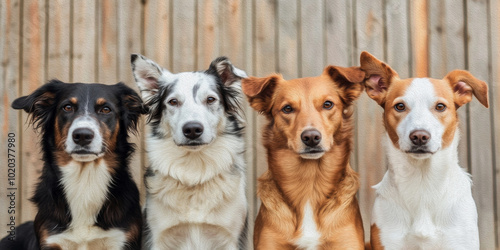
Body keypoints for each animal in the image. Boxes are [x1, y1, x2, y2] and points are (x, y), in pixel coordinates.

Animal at [0, 81, 146, 249]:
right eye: (67, 107)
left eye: (106, 109)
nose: (82, 135)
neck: (84, 181)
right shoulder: (51, 239)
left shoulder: (121, 239)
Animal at [131, 53, 248, 249]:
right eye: (173, 102)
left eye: (210, 99)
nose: (192, 129)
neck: (195, 168)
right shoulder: (157, 236)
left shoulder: (231, 238)